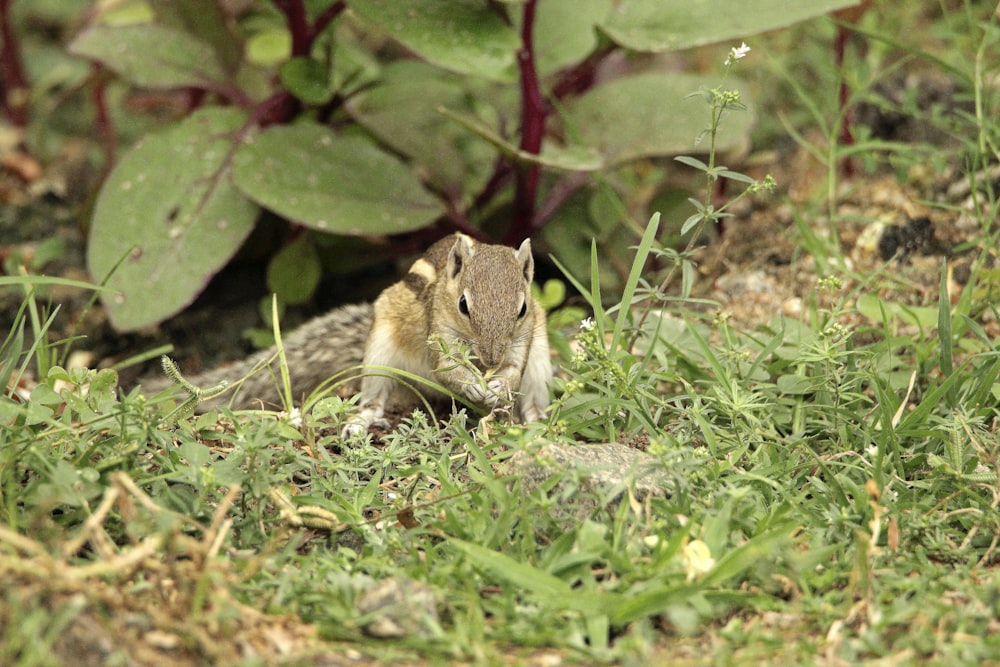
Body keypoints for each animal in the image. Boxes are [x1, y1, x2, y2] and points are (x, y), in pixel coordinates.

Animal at [152, 235, 552, 438]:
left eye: (521, 309)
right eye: (464, 305)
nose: (490, 359)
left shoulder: (527, 335)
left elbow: (515, 366)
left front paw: (498, 385)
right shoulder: (438, 331)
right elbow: (448, 369)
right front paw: (474, 385)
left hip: (541, 364)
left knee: (532, 397)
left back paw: (535, 423)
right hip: (379, 353)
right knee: (373, 398)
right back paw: (361, 422)